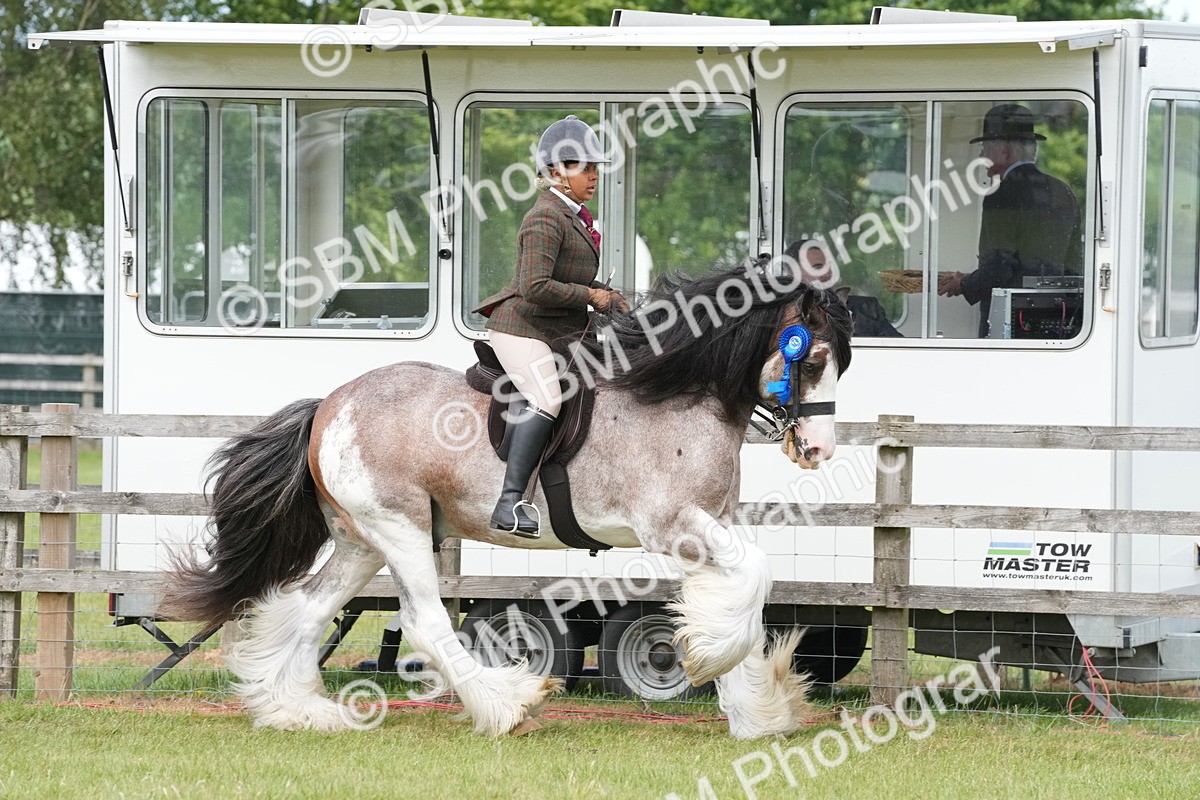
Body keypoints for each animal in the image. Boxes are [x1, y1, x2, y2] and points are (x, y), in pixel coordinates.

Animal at [162, 263, 854, 740]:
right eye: (811, 359)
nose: (818, 449)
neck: (675, 396)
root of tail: (330, 405)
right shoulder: (673, 526)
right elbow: (753, 582)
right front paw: (708, 660)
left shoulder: (709, 527)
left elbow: (746, 596)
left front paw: (755, 712)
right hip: (400, 527)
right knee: (425, 620)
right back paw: (507, 704)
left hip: (362, 539)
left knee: (308, 609)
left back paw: (296, 710)